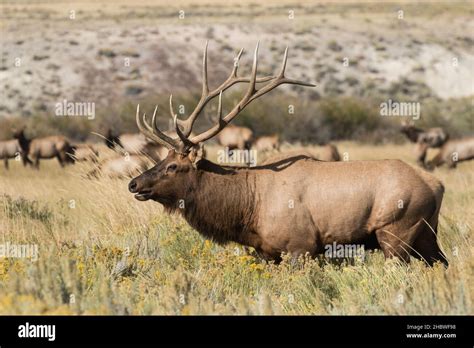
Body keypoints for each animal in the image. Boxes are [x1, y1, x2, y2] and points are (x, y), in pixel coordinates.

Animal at [128, 44, 446, 266]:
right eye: (160, 159)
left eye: (172, 166)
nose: (134, 183)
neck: (247, 208)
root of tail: (437, 185)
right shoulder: (265, 251)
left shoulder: (300, 246)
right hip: (426, 235)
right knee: (443, 263)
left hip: (396, 232)